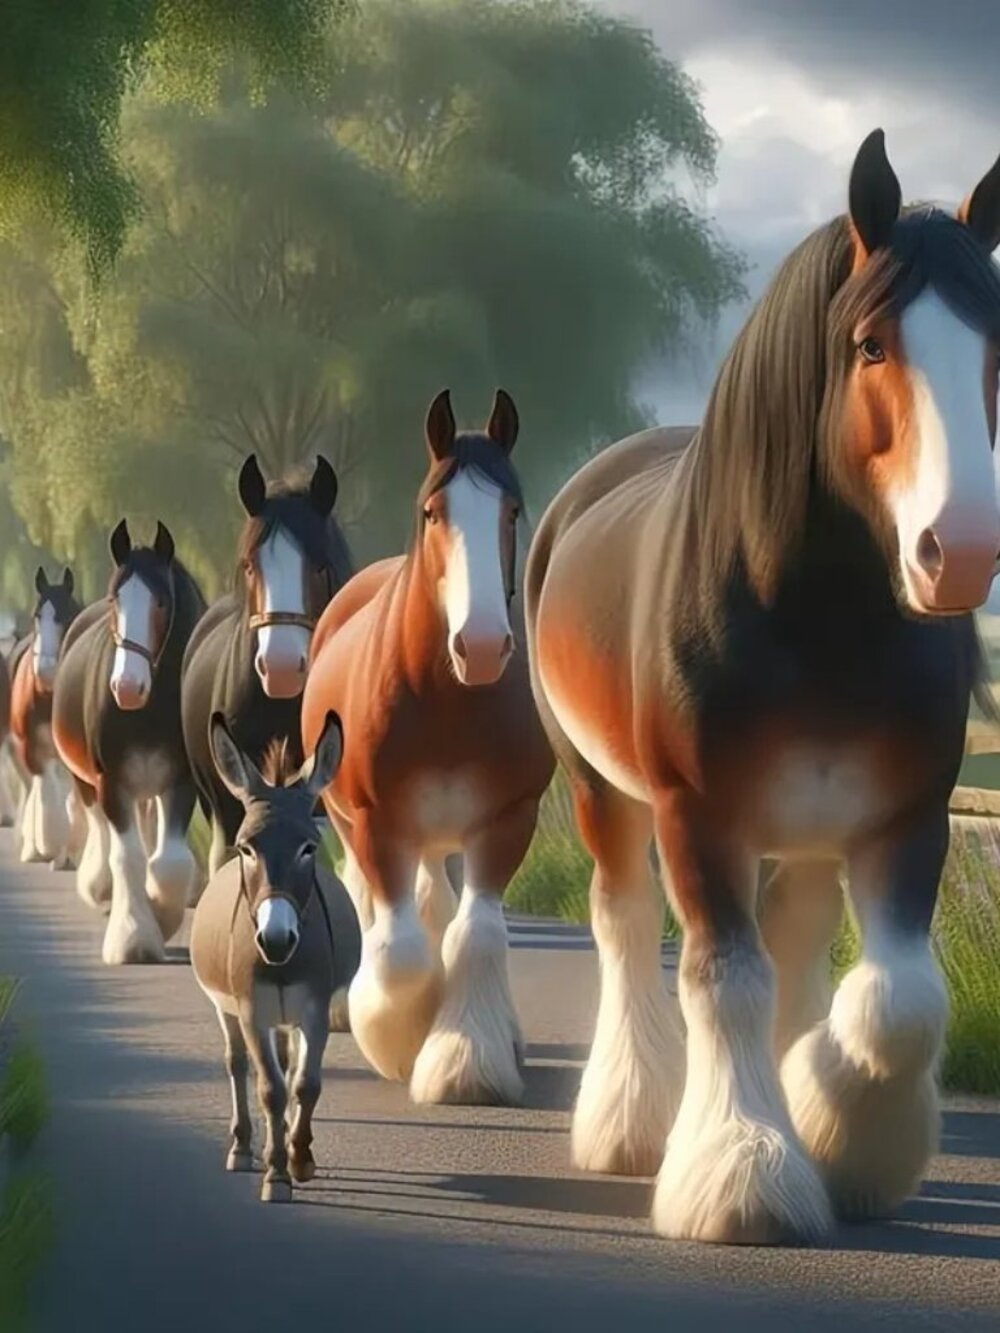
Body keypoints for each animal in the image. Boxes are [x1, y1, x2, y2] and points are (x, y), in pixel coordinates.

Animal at [53, 520, 207, 963]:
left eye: (161, 603)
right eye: (113, 599)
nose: (126, 686)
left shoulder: (181, 780)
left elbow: (169, 862)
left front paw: (162, 914)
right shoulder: (112, 781)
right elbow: (127, 856)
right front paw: (134, 937)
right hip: (87, 779)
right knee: (100, 829)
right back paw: (101, 888)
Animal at [190, 710, 358, 1202]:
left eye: (309, 848)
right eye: (247, 847)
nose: (277, 940)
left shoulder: (315, 1008)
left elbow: (305, 1084)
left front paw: (298, 1158)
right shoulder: (251, 1011)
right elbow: (270, 1090)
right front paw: (277, 1175)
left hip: (287, 1015)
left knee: (287, 1066)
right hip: (229, 1009)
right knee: (237, 1063)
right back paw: (245, 1148)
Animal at [301, 389, 555, 1106]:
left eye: (512, 509)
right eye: (433, 512)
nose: (483, 646)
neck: (446, 698)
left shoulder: (507, 818)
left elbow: (477, 933)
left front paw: (465, 1059)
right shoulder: (377, 823)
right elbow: (400, 947)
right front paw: (401, 1036)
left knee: (440, 906)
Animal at [524, 129, 1000, 1246]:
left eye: (997, 346)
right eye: (871, 346)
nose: (957, 552)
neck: (815, 622)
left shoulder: (904, 818)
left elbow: (899, 1003)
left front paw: (838, 1130)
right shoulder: (700, 816)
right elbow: (724, 980)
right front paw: (746, 1171)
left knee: (796, 941)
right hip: (604, 793)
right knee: (625, 926)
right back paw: (631, 1122)